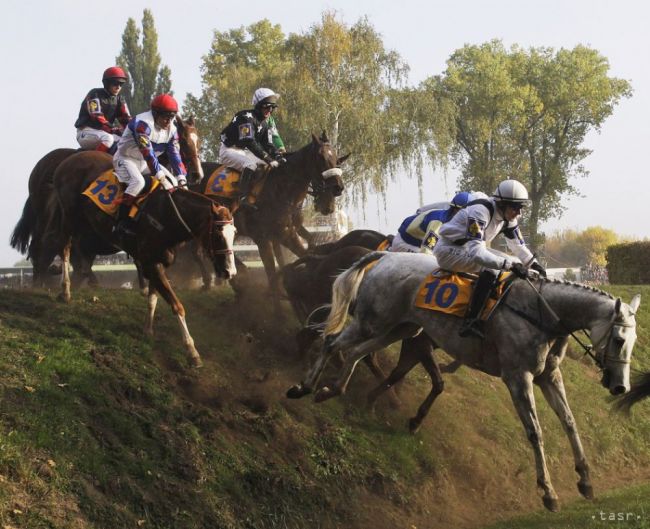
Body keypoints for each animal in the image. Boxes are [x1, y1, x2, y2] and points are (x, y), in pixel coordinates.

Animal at [39, 151, 235, 368]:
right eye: (218, 234)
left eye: (234, 233)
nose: (229, 271)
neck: (167, 216)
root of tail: (66, 162)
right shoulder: (152, 262)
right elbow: (177, 306)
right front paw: (192, 351)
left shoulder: (156, 262)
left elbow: (153, 298)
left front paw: (148, 329)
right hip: (70, 216)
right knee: (65, 247)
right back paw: (65, 290)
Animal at [288, 252, 636, 512]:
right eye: (619, 340)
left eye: (632, 341)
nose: (620, 387)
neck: (540, 313)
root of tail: (386, 256)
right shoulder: (517, 378)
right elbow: (535, 432)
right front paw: (548, 492)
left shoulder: (548, 376)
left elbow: (569, 422)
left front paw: (585, 480)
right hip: (372, 323)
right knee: (331, 342)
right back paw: (303, 386)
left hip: (399, 329)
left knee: (356, 352)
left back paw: (334, 390)